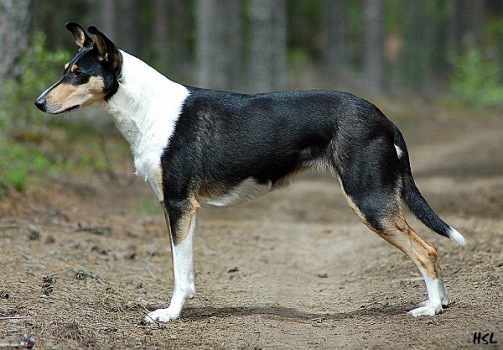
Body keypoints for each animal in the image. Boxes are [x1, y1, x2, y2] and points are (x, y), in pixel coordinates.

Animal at [36, 21, 468, 322]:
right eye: (65, 69)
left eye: (77, 73)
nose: (39, 103)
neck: (147, 109)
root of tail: (384, 117)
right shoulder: (183, 209)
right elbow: (185, 269)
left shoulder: (178, 205)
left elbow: (178, 269)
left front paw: (168, 316)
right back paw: (441, 303)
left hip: (370, 200)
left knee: (428, 251)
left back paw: (431, 309)